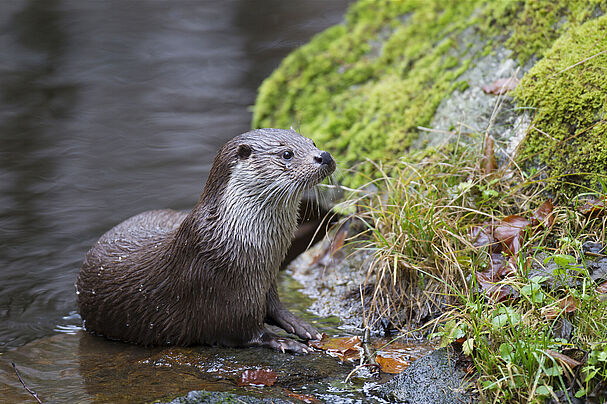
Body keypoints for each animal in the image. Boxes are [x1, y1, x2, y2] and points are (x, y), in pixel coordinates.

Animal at [76, 129, 338, 354]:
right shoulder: (219, 294)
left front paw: (301, 325)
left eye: (313, 142)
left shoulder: (265, 282)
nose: (324, 156)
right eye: (286, 154)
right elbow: (245, 333)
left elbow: (274, 306)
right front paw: (283, 342)